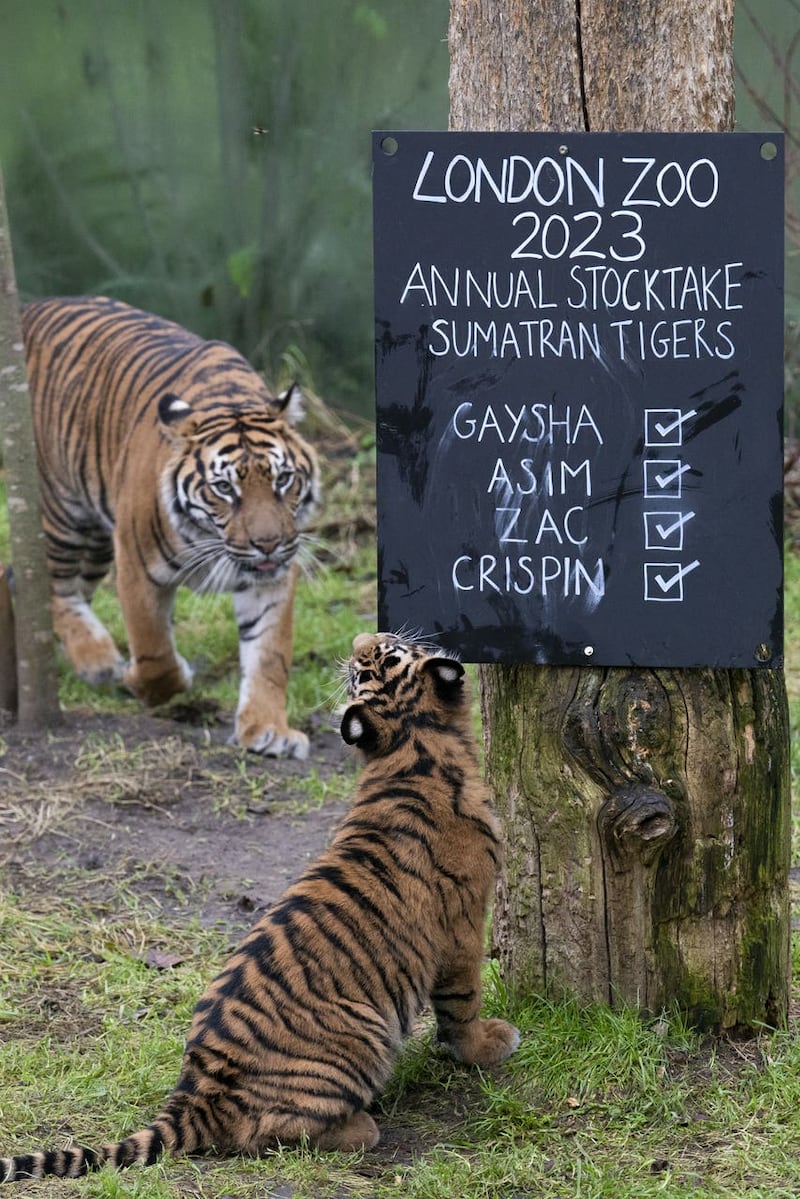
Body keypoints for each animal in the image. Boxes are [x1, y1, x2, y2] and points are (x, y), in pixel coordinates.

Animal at [0, 628, 520, 1179]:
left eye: (375, 660)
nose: (361, 638)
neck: (411, 745)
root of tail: (197, 1090)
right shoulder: (464, 924)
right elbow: (462, 1000)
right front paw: (487, 1045)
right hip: (364, 1033)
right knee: (274, 1130)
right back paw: (362, 1128)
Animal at [19, 293, 319, 752]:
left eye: (283, 479)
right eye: (224, 488)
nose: (267, 543)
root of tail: (30, 307)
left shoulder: (272, 578)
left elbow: (269, 656)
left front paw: (268, 729)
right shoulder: (136, 563)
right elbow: (154, 650)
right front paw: (149, 681)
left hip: (95, 538)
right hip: (61, 511)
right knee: (54, 587)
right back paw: (99, 661)